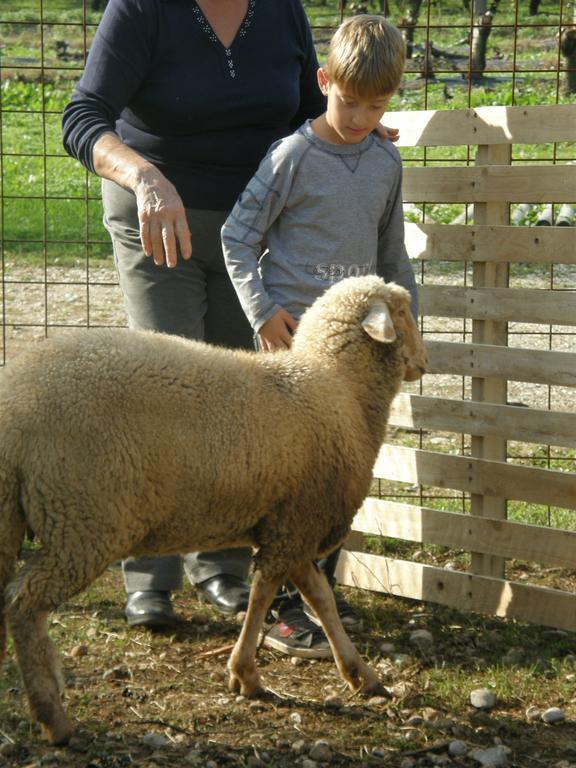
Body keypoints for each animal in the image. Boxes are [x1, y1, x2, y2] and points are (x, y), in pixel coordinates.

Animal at [0, 276, 424, 744]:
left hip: (17, 514)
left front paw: (358, 673)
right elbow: (265, 596)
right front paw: (246, 675)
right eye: (402, 312)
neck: (339, 389)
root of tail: (14, 403)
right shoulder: (297, 526)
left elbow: (321, 598)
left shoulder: (289, 523)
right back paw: (52, 716)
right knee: (22, 605)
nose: (424, 362)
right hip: (83, 520)